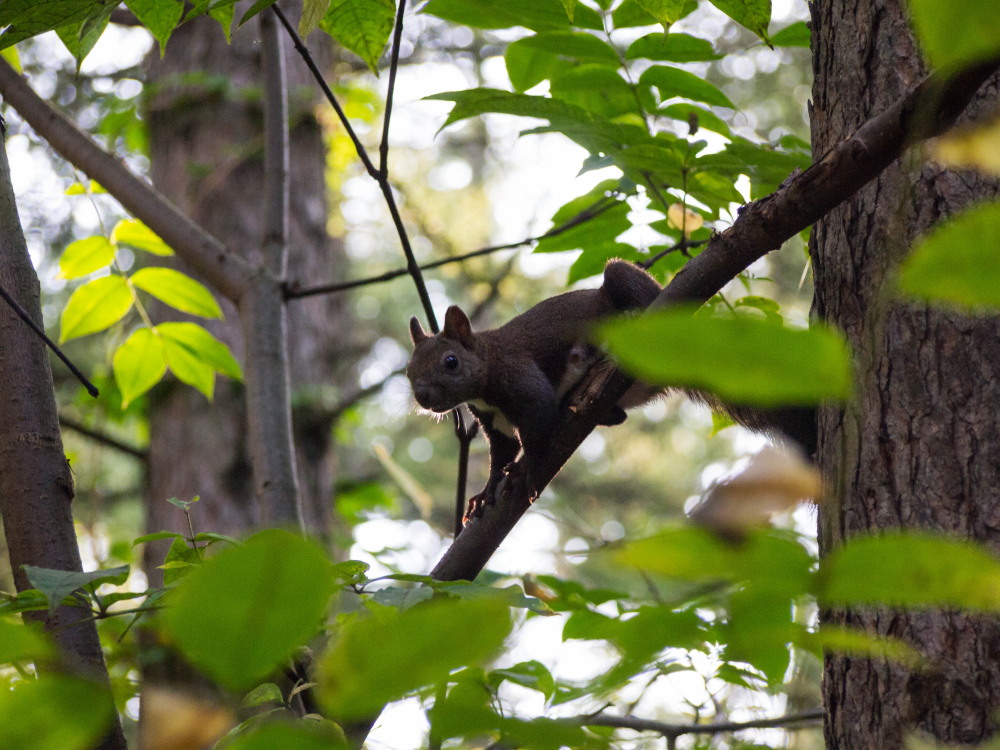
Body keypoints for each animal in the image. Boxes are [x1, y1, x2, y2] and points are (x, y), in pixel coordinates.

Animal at [406, 260, 664, 524]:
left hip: (621, 280)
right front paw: (487, 489)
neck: (489, 362)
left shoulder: (524, 382)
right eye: (409, 370)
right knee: (619, 416)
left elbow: (536, 432)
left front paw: (524, 468)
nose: (422, 395)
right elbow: (503, 451)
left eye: (451, 361)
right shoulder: (495, 423)